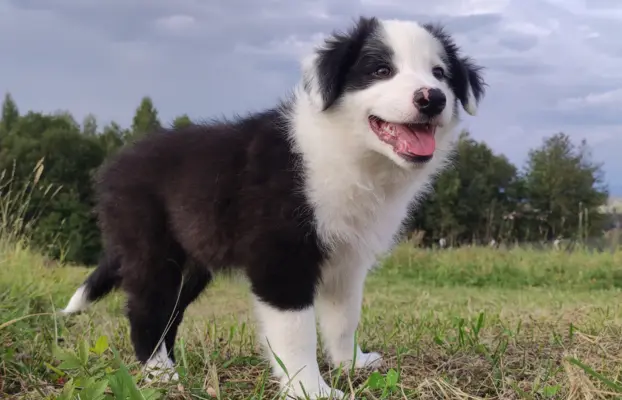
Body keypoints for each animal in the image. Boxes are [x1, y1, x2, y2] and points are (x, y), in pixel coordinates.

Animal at [63, 16, 490, 400]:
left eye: (439, 73)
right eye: (381, 70)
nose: (432, 97)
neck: (349, 152)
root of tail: (116, 164)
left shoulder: (347, 259)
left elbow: (343, 318)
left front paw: (351, 363)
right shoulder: (281, 257)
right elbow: (295, 332)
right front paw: (311, 389)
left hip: (193, 262)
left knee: (172, 312)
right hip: (151, 247)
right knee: (147, 312)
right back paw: (161, 374)